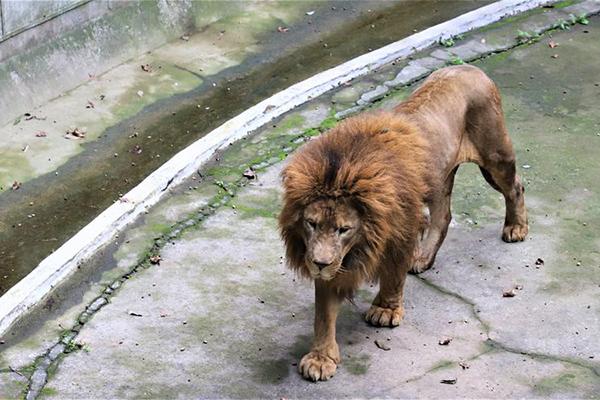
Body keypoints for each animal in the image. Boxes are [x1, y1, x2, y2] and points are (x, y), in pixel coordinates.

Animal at [278, 65, 528, 382]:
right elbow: (323, 314)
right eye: (311, 223)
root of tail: (469, 68)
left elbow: (394, 275)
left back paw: (516, 228)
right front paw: (321, 359)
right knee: (443, 215)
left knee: (516, 187)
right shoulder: (333, 260)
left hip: (495, 156)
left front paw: (385, 310)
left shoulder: (402, 230)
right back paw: (423, 258)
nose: (319, 263)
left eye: (344, 229)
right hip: (439, 179)